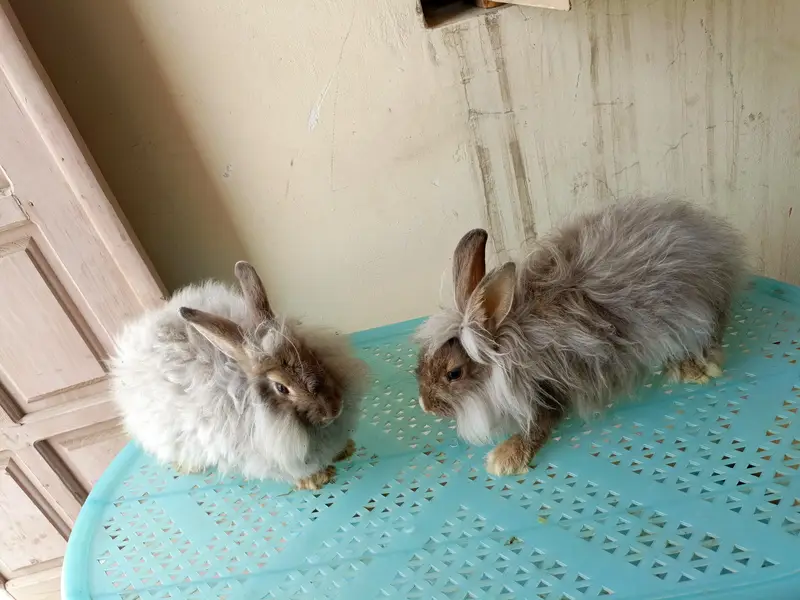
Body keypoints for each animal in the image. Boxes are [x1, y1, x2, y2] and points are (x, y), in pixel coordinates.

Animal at [415, 198, 745, 477]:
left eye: (454, 374)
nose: (425, 406)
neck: (509, 348)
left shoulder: (548, 393)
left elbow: (538, 427)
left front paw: (504, 459)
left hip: (693, 311)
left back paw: (696, 367)